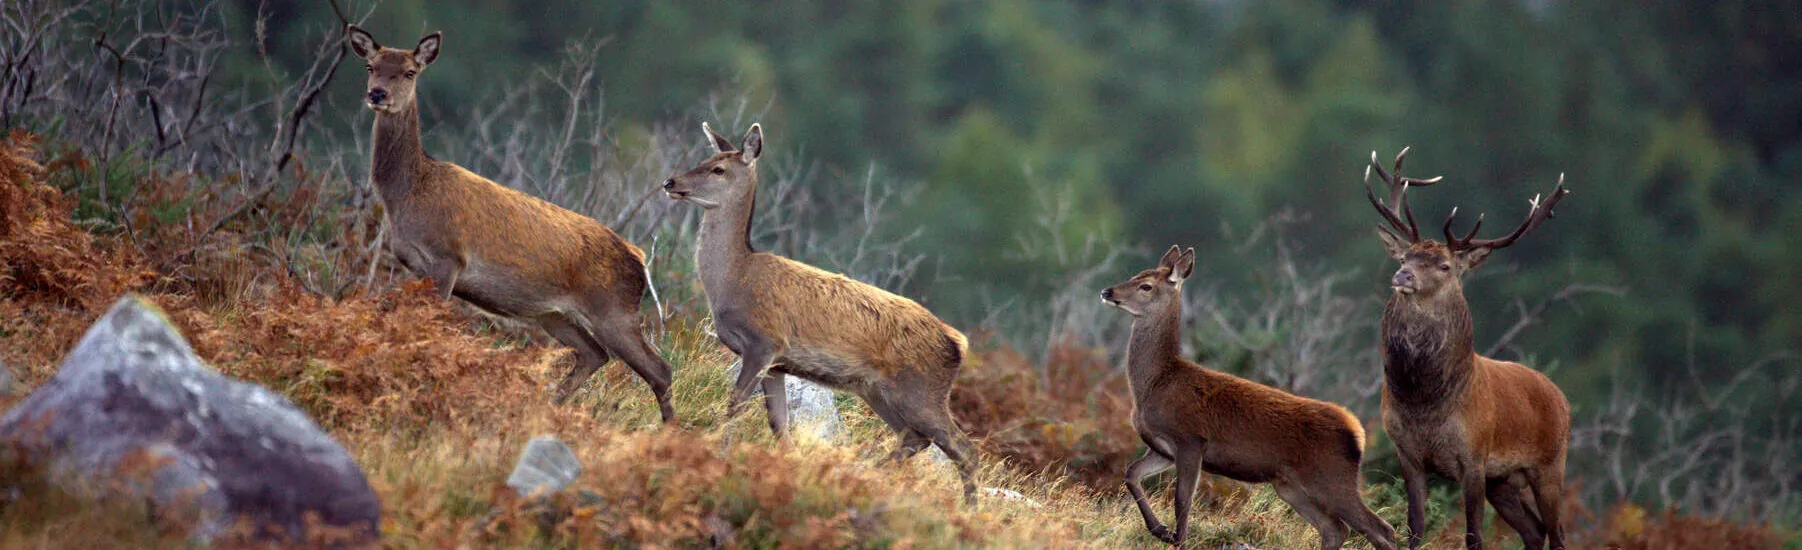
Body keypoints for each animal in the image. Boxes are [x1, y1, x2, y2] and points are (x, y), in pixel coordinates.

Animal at [344, 26, 675, 423]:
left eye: (410, 71)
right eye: (370, 66)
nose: (377, 94)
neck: (408, 196)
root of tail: (639, 257)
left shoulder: (448, 258)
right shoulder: (414, 266)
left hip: (613, 308)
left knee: (659, 369)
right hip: (553, 313)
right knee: (595, 354)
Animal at [661, 123, 980, 504]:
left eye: (718, 169)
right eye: (703, 159)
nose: (671, 182)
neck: (734, 279)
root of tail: (957, 342)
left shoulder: (763, 341)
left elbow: (735, 403)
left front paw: (715, 453)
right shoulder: (778, 363)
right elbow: (779, 423)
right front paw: (787, 468)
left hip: (921, 390)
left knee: (964, 449)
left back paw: (968, 509)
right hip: (878, 390)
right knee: (916, 438)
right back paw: (866, 474)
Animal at [1102, 246, 1398, 550]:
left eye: (1146, 286)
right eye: (1134, 275)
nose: (1107, 291)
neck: (1155, 384)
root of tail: (1357, 431)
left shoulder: (1191, 439)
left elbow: (1182, 502)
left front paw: (1177, 539)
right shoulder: (1162, 448)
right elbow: (1131, 473)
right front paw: (1160, 530)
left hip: (1331, 475)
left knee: (1381, 529)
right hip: (1289, 485)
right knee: (1335, 529)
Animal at [1362, 148, 1572, 549]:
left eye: (1444, 266)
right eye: (1405, 257)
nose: (1402, 276)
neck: (1424, 403)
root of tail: (1562, 398)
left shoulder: (1474, 456)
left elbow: (1474, 534)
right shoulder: (1407, 454)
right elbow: (1415, 526)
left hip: (1551, 464)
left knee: (1558, 533)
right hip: (1503, 480)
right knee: (1534, 530)